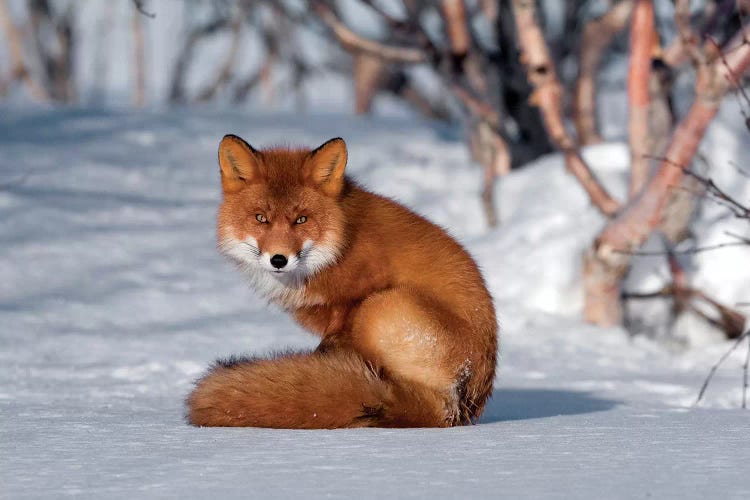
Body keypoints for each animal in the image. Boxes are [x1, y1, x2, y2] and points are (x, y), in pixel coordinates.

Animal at [187, 135, 500, 428]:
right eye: (261, 218)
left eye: (301, 220)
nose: (278, 259)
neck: (339, 244)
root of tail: (456, 410)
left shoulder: (354, 303)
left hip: (380, 306)